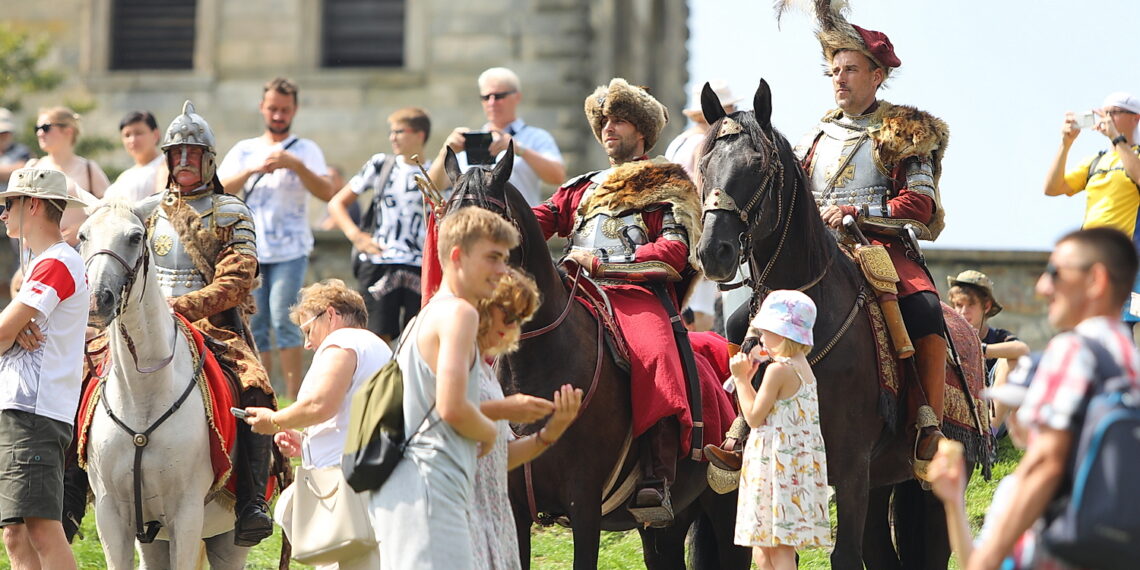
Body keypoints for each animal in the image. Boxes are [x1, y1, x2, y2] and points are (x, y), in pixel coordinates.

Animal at [80, 201, 249, 570]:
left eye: (135, 236)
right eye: (83, 234)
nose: (97, 300)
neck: (142, 396)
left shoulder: (185, 513)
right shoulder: (111, 514)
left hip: (228, 539)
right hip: (155, 541)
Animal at [444, 144, 756, 567]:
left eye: (491, 224)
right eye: (444, 217)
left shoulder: (584, 505)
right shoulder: (517, 509)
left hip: (726, 510)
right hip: (666, 528)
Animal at [693, 81, 989, 570]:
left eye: (758, 165)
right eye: (704, 164)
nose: (713, 251)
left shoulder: (850, 465)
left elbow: (844, 554)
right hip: (882, 479)